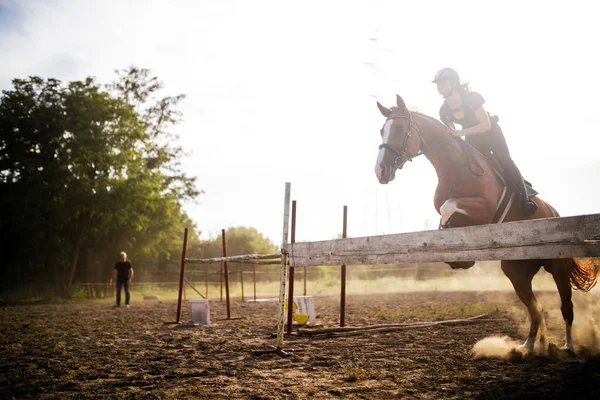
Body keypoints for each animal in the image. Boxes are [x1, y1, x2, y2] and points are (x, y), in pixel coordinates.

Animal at [376, 95, 596, 352]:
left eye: (400, 129)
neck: (455, 169)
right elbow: (445, 216)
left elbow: (448, 206)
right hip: (515, 271)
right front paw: (458, 257)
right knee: (535, 308)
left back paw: (568, 346)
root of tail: (555, 213)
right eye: (382, 131)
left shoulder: (485, 210)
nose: (381, 171)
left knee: (566, 306)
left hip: (558, 267)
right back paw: (527, 346)